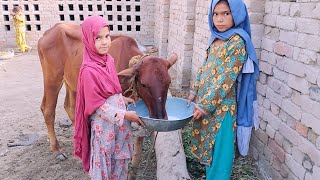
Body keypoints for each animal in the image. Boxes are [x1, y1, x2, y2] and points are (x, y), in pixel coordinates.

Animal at [37, 22, 178, 176]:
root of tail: (50, 31)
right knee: (48, 110)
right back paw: (57, 150)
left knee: (70, 107)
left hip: (72, 82)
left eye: (169, 82)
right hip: (52, 78)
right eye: (143, 84)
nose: (160, 117)